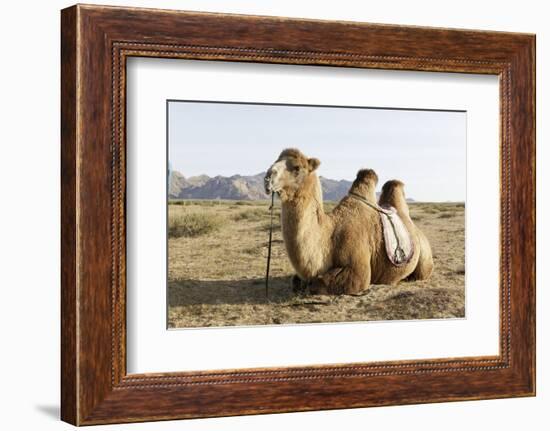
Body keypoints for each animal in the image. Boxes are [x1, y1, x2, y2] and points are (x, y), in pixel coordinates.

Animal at [264, 147, 436, 296]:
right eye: (275, 160)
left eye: (297, 167)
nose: (267, 177)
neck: (330, 236)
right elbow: (296, 281)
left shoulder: (358, 271)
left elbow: (320, 282)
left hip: (424, 259)